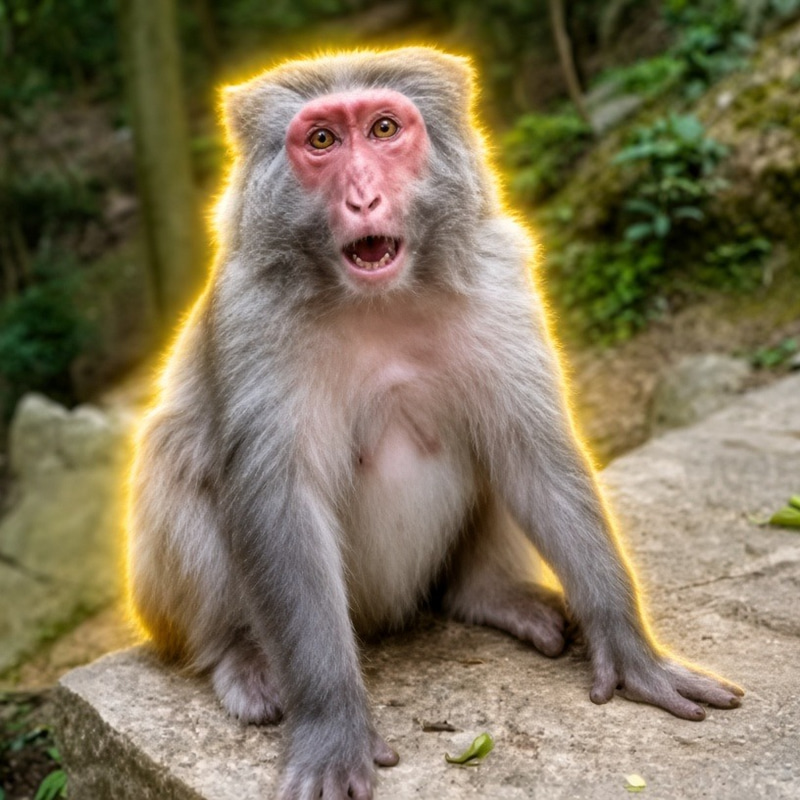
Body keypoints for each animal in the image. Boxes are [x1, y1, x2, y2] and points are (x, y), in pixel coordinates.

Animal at [127, 47, 743, 800]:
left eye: (384, 129)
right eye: (323, 140)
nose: (363, 198)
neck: (382, 300)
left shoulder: (499, 276)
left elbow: (535, 455)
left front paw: (631, 652)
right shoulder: (250, 313)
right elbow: (281, 502)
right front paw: (332, 726)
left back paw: (487, 594)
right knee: (174, 456)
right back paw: (238, 652)